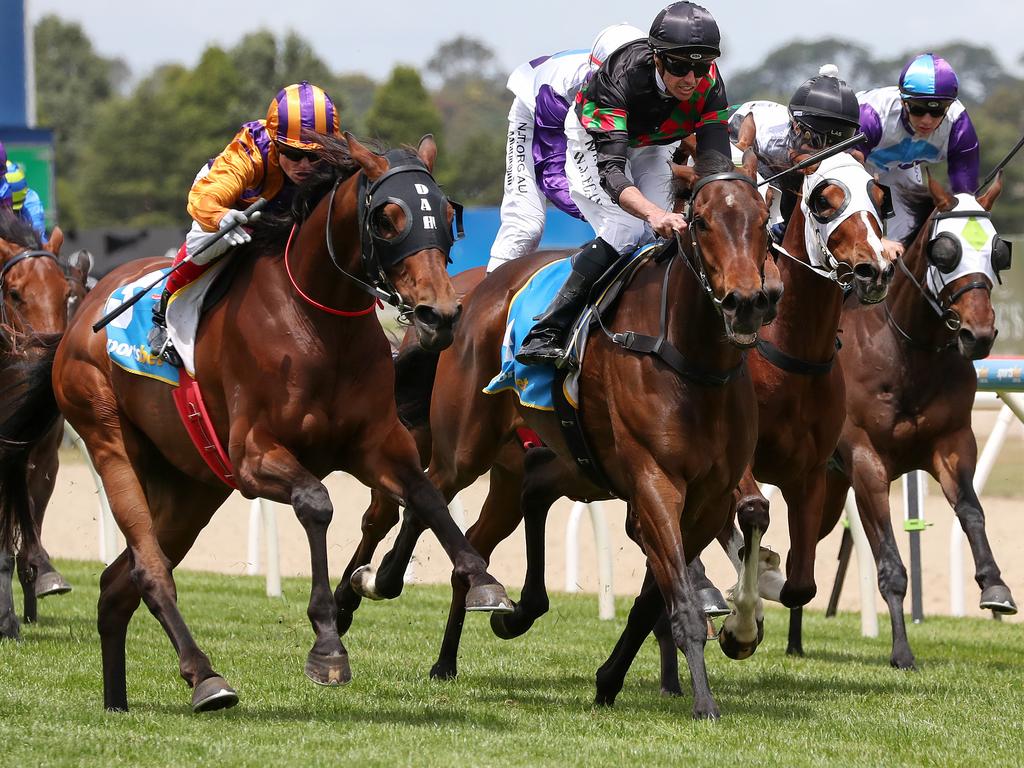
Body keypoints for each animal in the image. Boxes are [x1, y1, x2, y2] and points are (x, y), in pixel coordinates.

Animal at [51, 134, 507, 716]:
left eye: (448, 215)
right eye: (387, 218)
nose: (440, 315)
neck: (317, 324)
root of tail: (85, 305)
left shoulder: (376, 445)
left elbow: (426, 496)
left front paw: (482, 580)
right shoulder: (253, 455)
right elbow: (317, 503)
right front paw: (328, 643)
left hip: (192, 487)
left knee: (115, 585)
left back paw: (118, 701)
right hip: (107, 435)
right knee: (148, 570)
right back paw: (206, 678)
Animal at [339, 150, 778, 720]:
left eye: (764, 222)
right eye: (701, 222)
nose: (747, 302)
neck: (691, 361)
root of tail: (477, 290)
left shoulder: (708, 495)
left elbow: (658, 595)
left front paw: (613, 678)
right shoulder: (655, 483)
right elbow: (677, 596)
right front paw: (704, 701)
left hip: (535, 467)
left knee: (498, 516)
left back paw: (459, 644)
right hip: (466, 444)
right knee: (424, 497)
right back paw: (375, 583)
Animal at [782, 173, 1015, 667]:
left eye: (997, 251)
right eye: (944, 251)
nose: (980, 334)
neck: (906, 353)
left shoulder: (952, 444)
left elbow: (972, 511)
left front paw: (995, 586)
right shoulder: (866, 463)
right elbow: (889, 560)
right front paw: (902, 651)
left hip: (828, 487)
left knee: (803, 544)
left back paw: (793, 638)